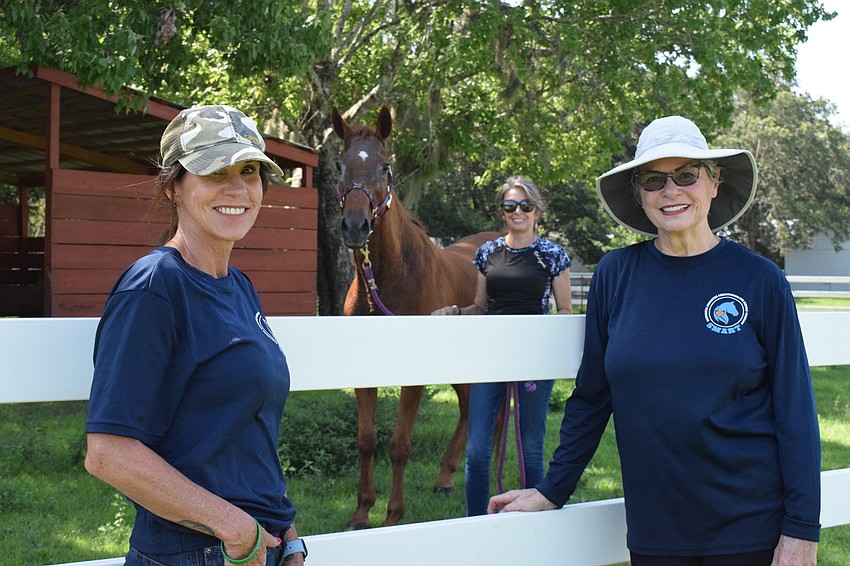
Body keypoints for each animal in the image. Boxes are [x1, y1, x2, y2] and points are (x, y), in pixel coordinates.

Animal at [332, 105, 497, 530]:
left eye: (385, 166)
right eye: (339, 164)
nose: (355, 226)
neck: (390, 276)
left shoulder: (415, 377)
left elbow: (399, 446)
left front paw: (393, 516)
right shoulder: (363, 373)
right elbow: (367, 441)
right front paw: (361, 511)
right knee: (468, 408)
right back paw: (445, 477)